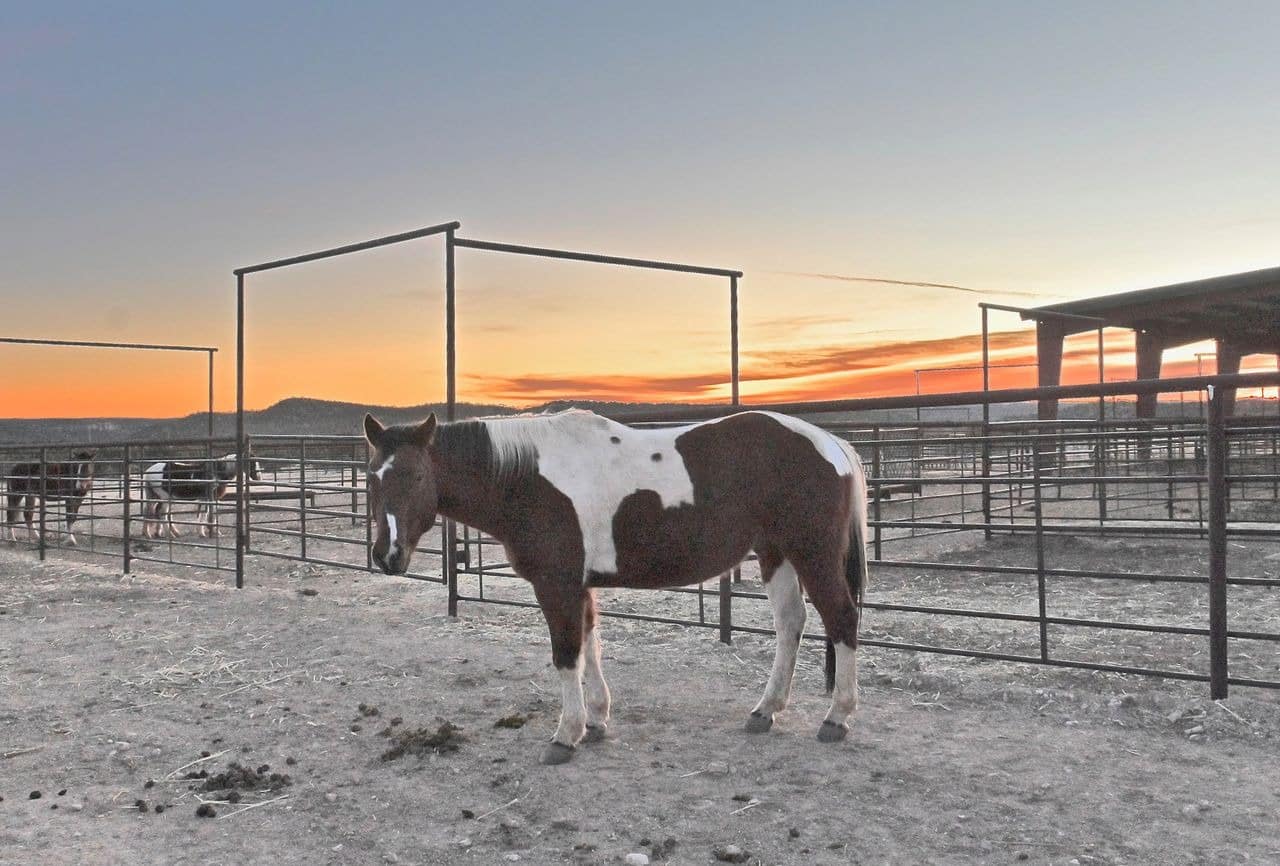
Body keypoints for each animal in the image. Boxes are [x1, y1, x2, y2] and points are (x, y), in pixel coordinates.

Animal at [363, 406, 870, 762]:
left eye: (417, 474)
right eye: (372, 478)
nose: (386, 555)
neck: (526, 477)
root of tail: (831, 443)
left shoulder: (557, 584)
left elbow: (567, 654)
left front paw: (566, 735)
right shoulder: (578, 585)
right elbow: (590, 643)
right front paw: (596, 720)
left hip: (811, 553)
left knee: (841, 619)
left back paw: (836, 718)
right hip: (776, 553)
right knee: (790, 623)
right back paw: (766, 710)